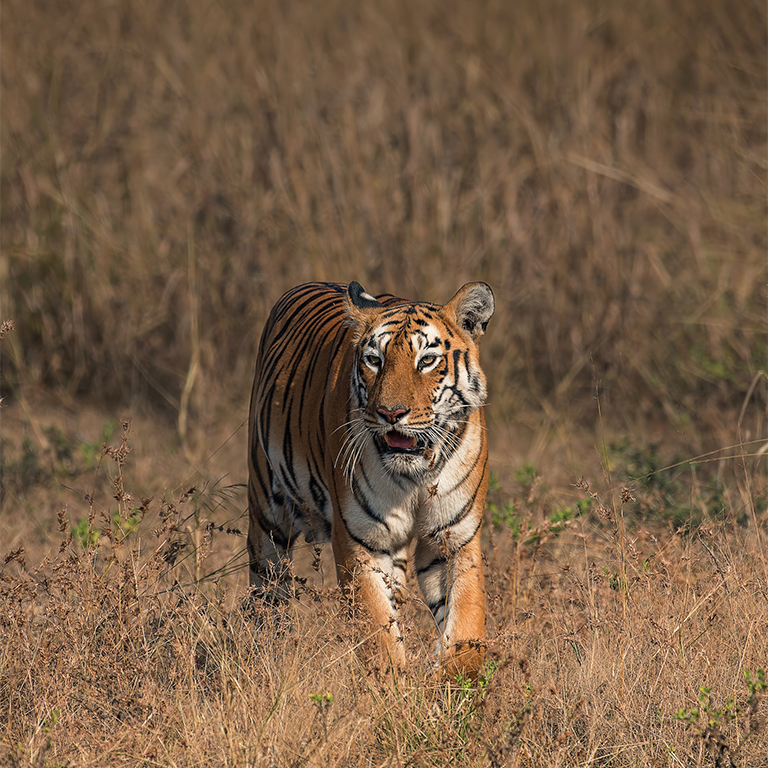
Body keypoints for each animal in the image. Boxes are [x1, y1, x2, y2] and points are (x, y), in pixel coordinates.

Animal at [249, 282, 496, 680]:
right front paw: (395, 689)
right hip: (267, 515)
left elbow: (466, 627)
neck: (416, 474)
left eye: (427, 360)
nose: (391, 413)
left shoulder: (455, 538)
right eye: (374, 360)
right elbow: (378, 634)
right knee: (266, 595)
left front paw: (452, 683)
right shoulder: (359, 541)